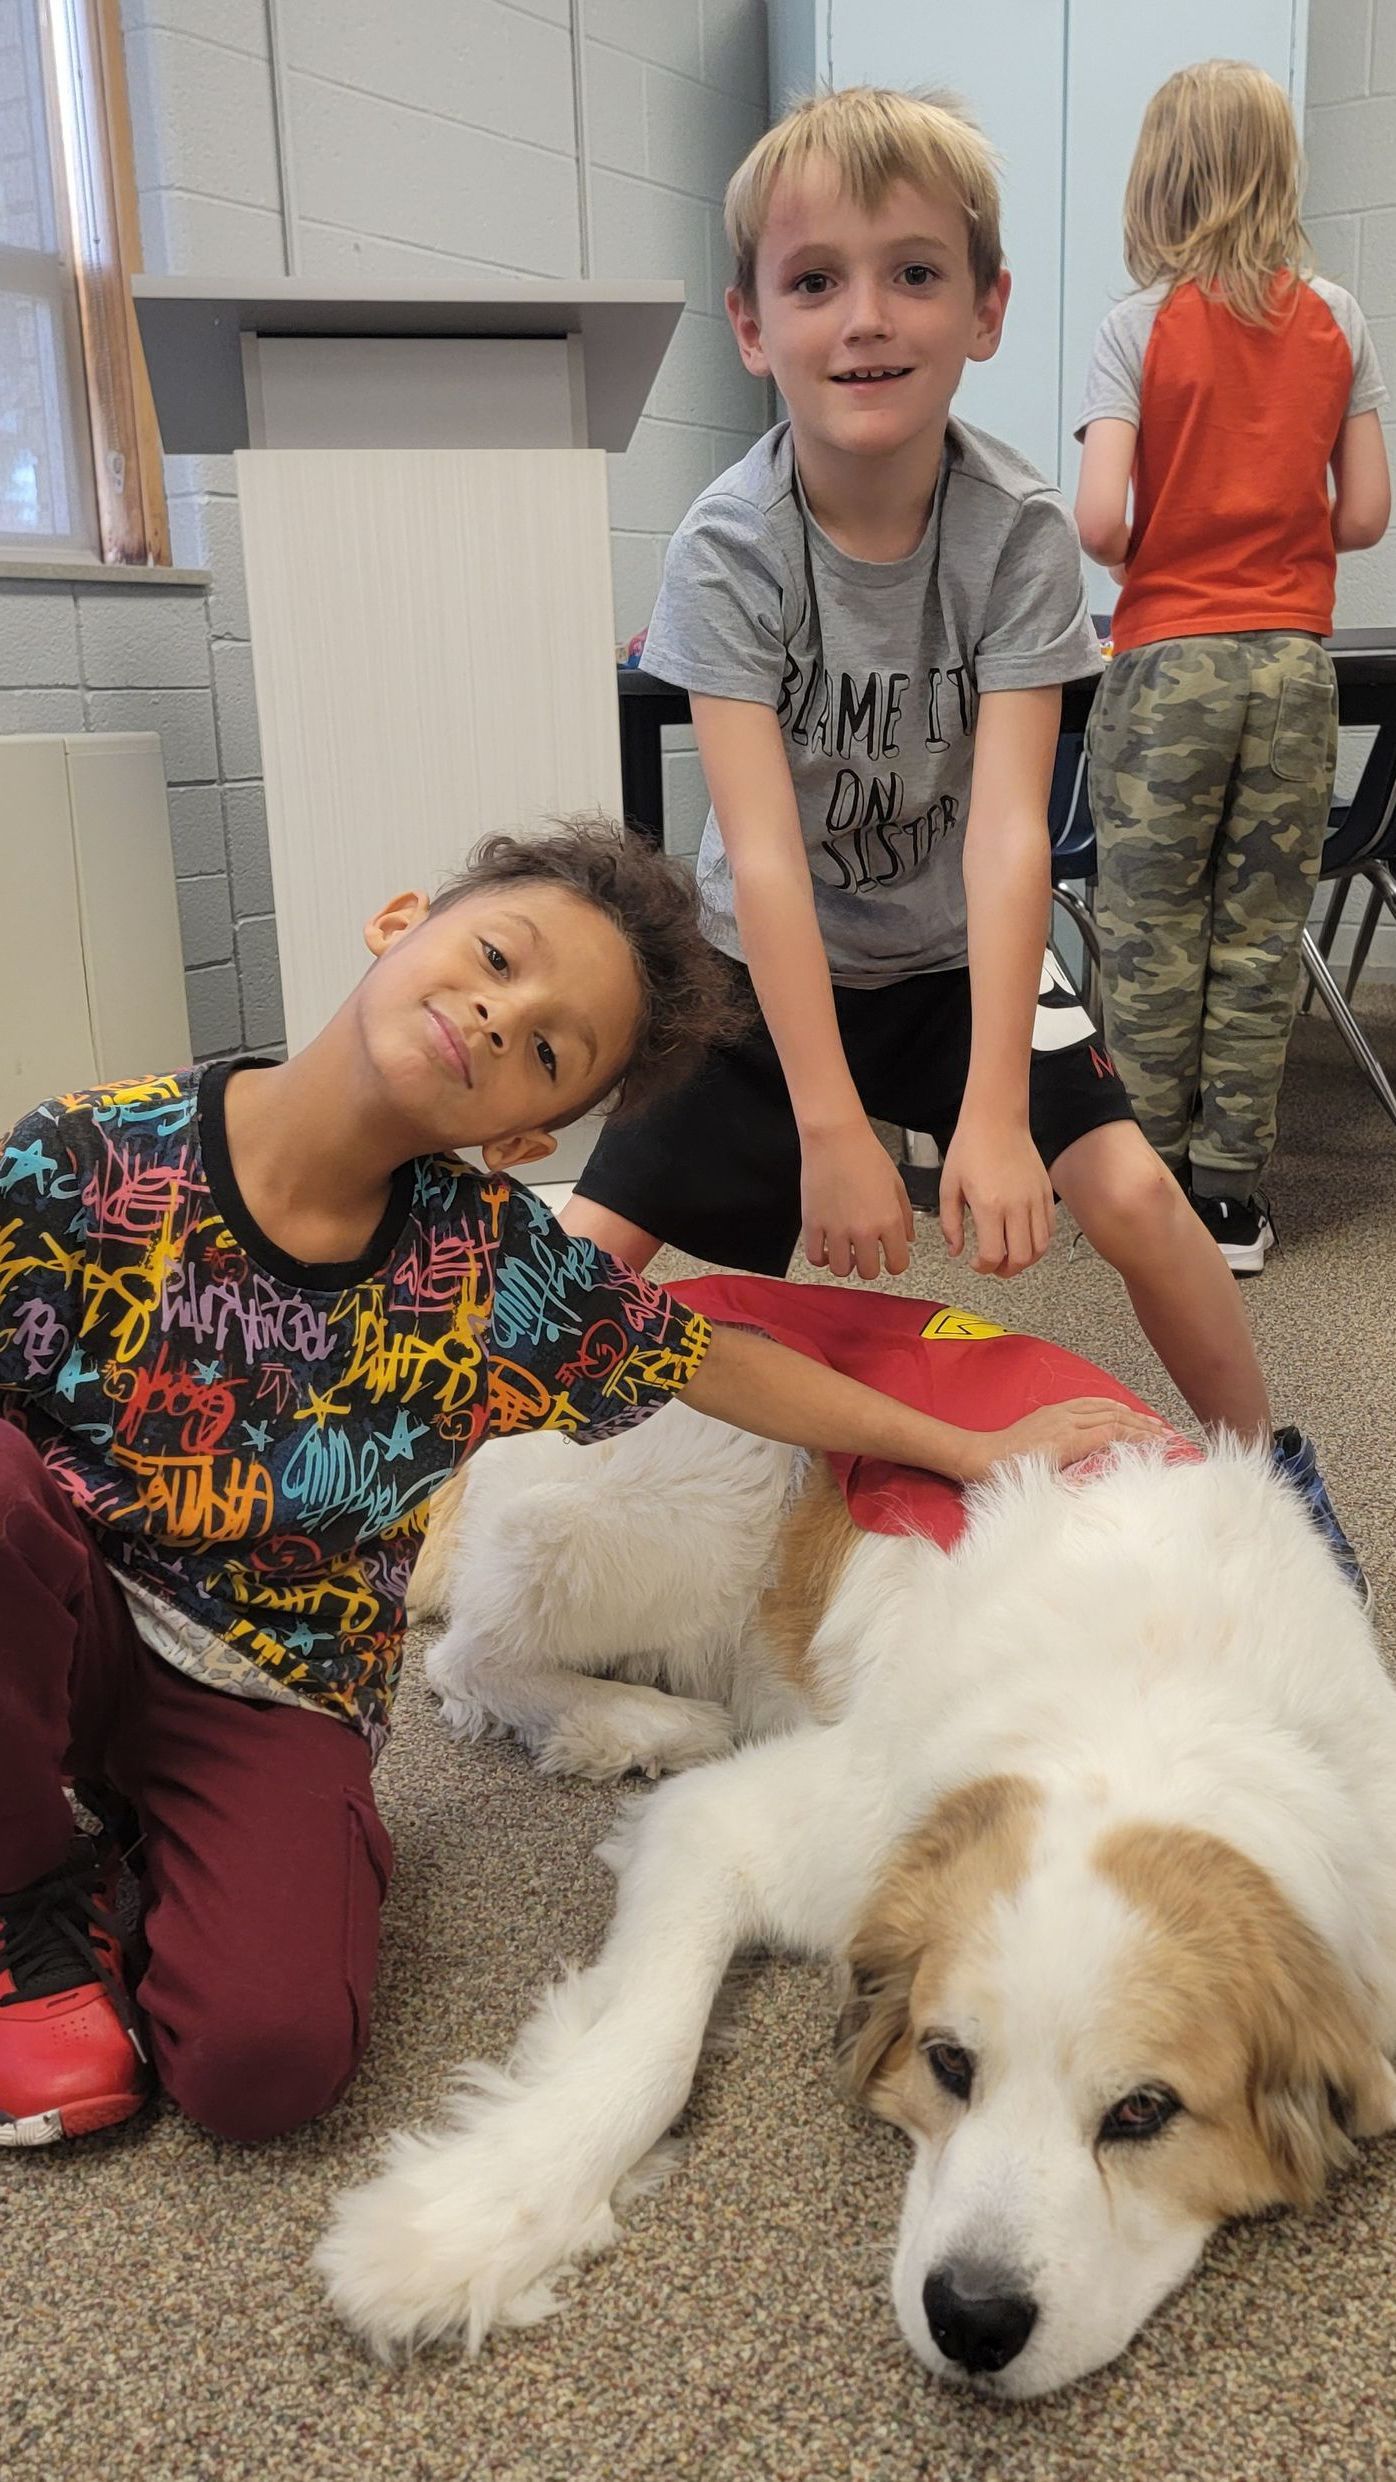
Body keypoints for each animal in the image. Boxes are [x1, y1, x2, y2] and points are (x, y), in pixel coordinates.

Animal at [320, 1409, 1391, 2392]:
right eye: (949, 2062)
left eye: (1142, 2112)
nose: (973, 2319)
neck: (1145, 1708)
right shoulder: (762, 1823)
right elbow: (652, 2047)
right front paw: (464, 2221)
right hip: (696, 1504)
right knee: (469, 1656)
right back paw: (639, 1723)